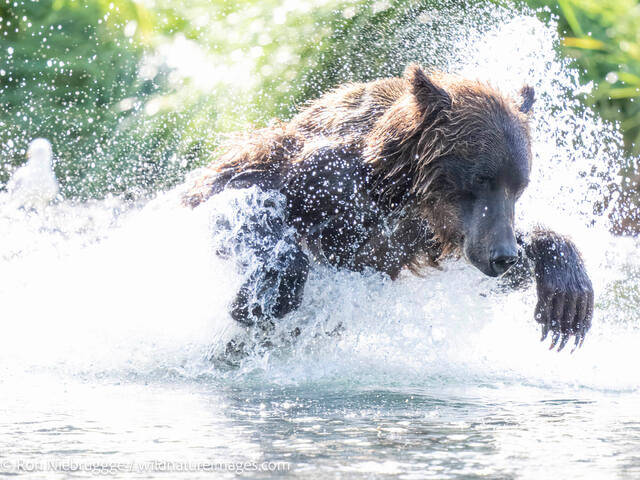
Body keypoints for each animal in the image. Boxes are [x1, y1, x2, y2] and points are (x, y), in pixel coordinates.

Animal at [184, 64, 594, 353]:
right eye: (482, 178)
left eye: (519, 186)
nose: (503, 254)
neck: (398, 185)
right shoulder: (321, 175)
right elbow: (237, 204)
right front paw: (258, 301)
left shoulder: (428, 235)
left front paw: (566, 292)